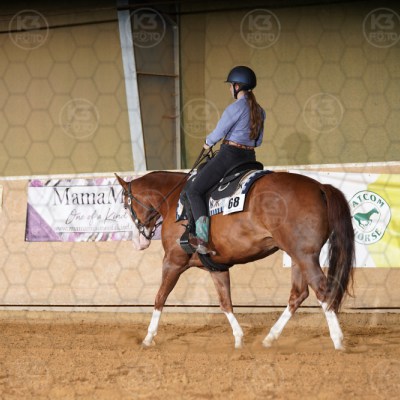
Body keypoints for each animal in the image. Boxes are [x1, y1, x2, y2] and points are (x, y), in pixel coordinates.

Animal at [115, 169, 355, 350]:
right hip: (298, 257)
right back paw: (270, 338)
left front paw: (148, 338)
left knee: (323, 291)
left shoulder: (173, 262)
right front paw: (239, 338)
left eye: (126, 205)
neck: (175, 202)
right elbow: (225, 302)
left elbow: (159, 298)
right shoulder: (216, 268)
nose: (138, 242)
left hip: (305, 256)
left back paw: (338, 340)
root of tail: (320, 187)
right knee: (298, 294)